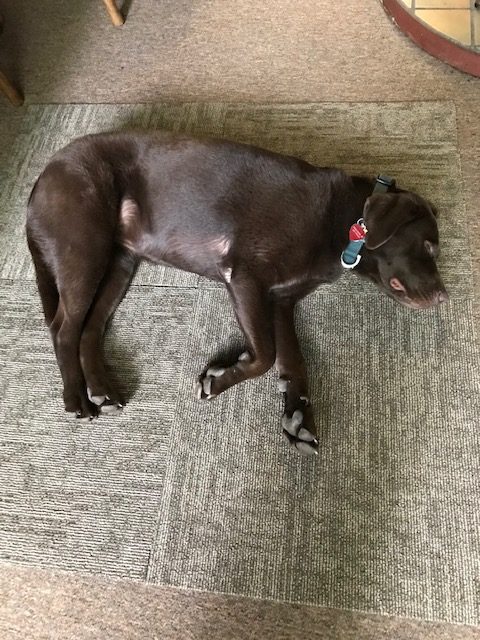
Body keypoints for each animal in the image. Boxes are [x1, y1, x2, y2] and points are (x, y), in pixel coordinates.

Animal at [25, 132, 446, 456]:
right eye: (429, 247)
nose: (445, 297)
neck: (345, 224)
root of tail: (43, 174)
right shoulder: (245, 276)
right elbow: (265, 354)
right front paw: (220, 376)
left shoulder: (280, 301)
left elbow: (293, 360)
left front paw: (298, 417)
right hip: (86, 247)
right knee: (64, 327)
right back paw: (76, 398)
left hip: (119, 264)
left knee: (89, 328)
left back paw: (101, 390)